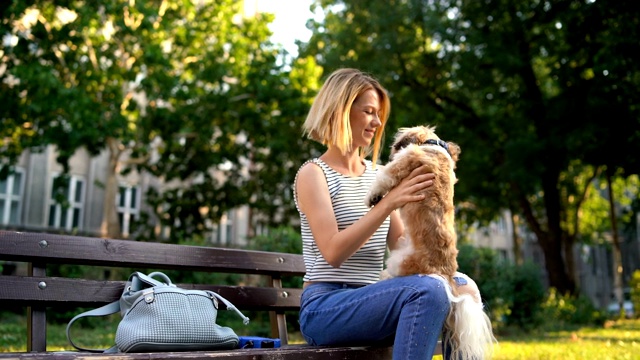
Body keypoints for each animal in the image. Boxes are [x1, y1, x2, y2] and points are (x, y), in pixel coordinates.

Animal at [364, 126, 496, 360]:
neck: (432, 145)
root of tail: (445, 275)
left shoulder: (403, 163)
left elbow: (384, 177)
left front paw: (373, 196)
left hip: (398, 259)